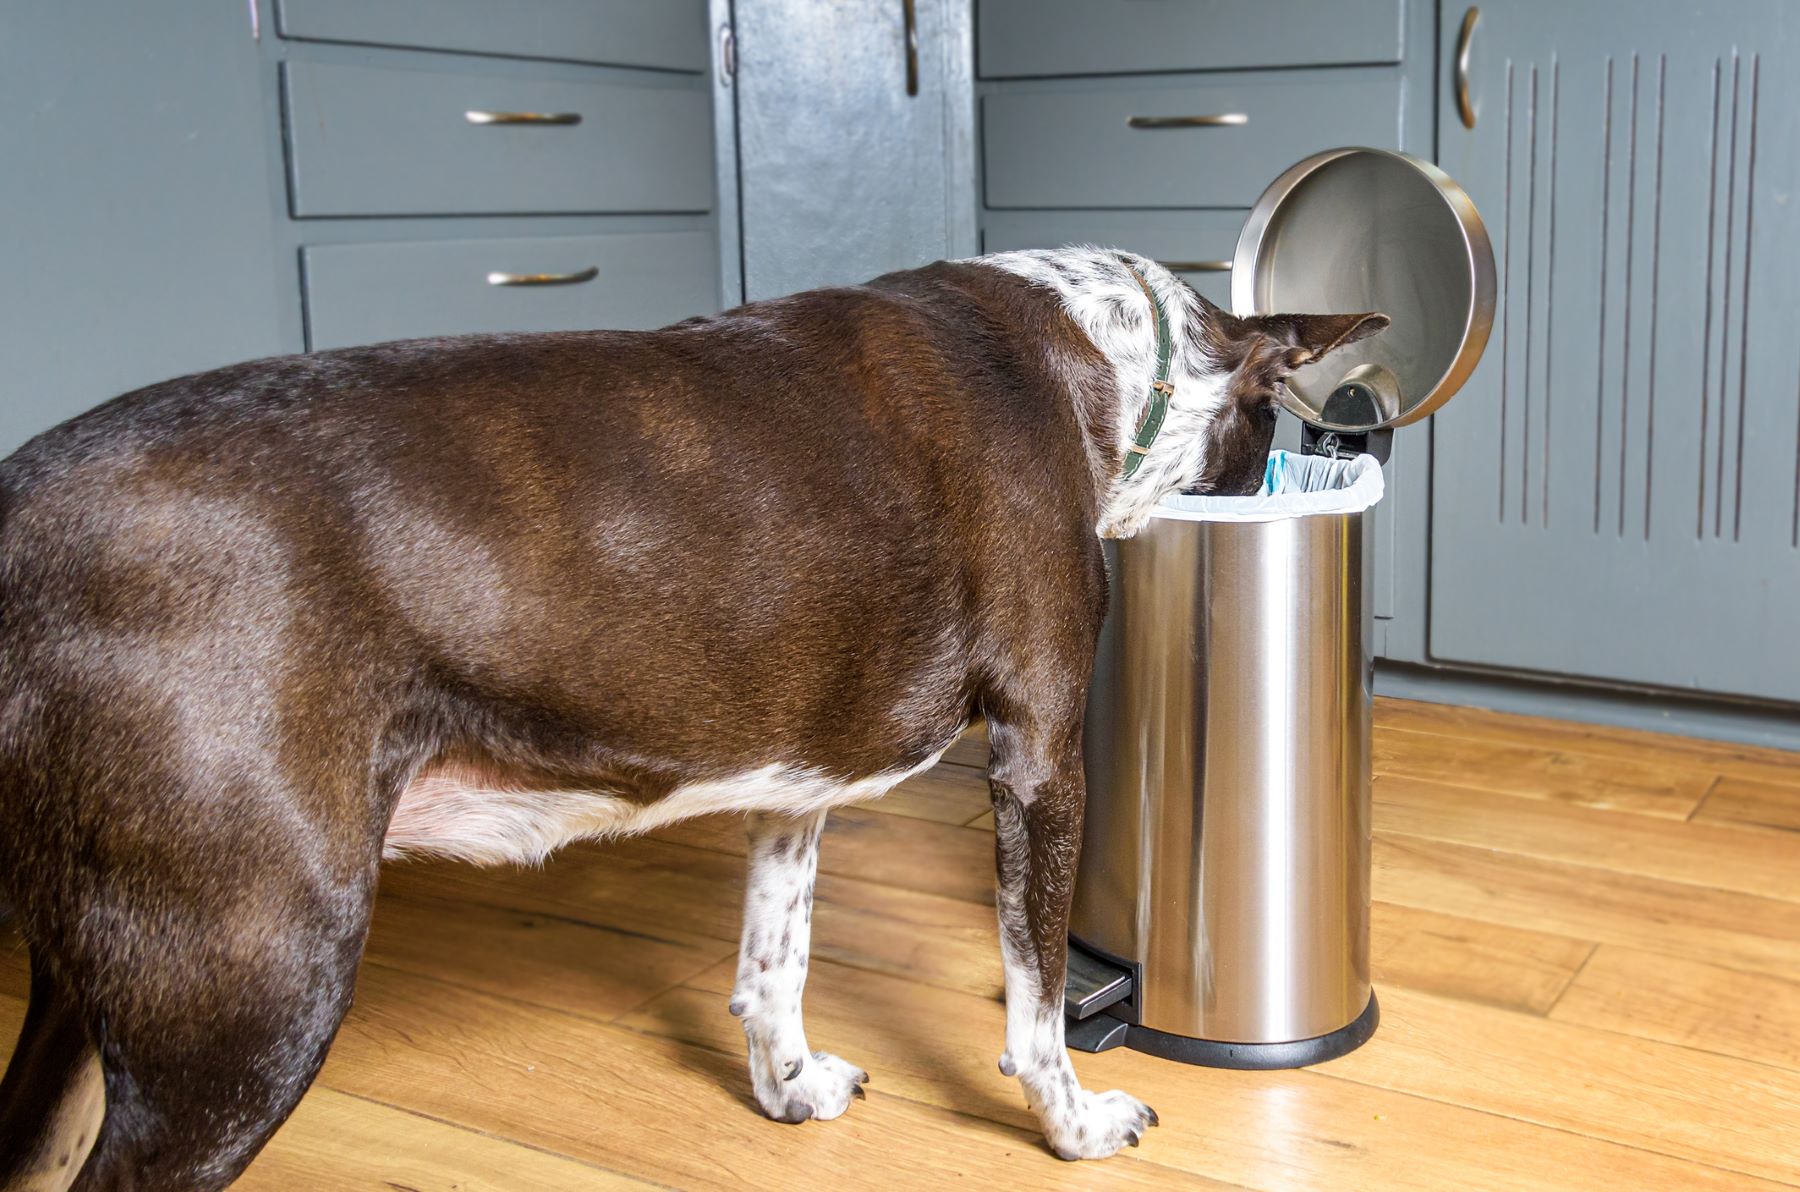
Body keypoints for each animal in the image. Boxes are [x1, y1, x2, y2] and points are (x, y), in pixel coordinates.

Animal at [0, 246, 1375, 1188]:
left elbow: (774, 961)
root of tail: (16, 517)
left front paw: (788, 1090)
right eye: (1273, 423)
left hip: (94, 979)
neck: (1101, 362)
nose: (1292, 475)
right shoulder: (1039, 755)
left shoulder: (793, 779)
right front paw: (1077, 1125)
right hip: (253, 984)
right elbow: (1036, 998)